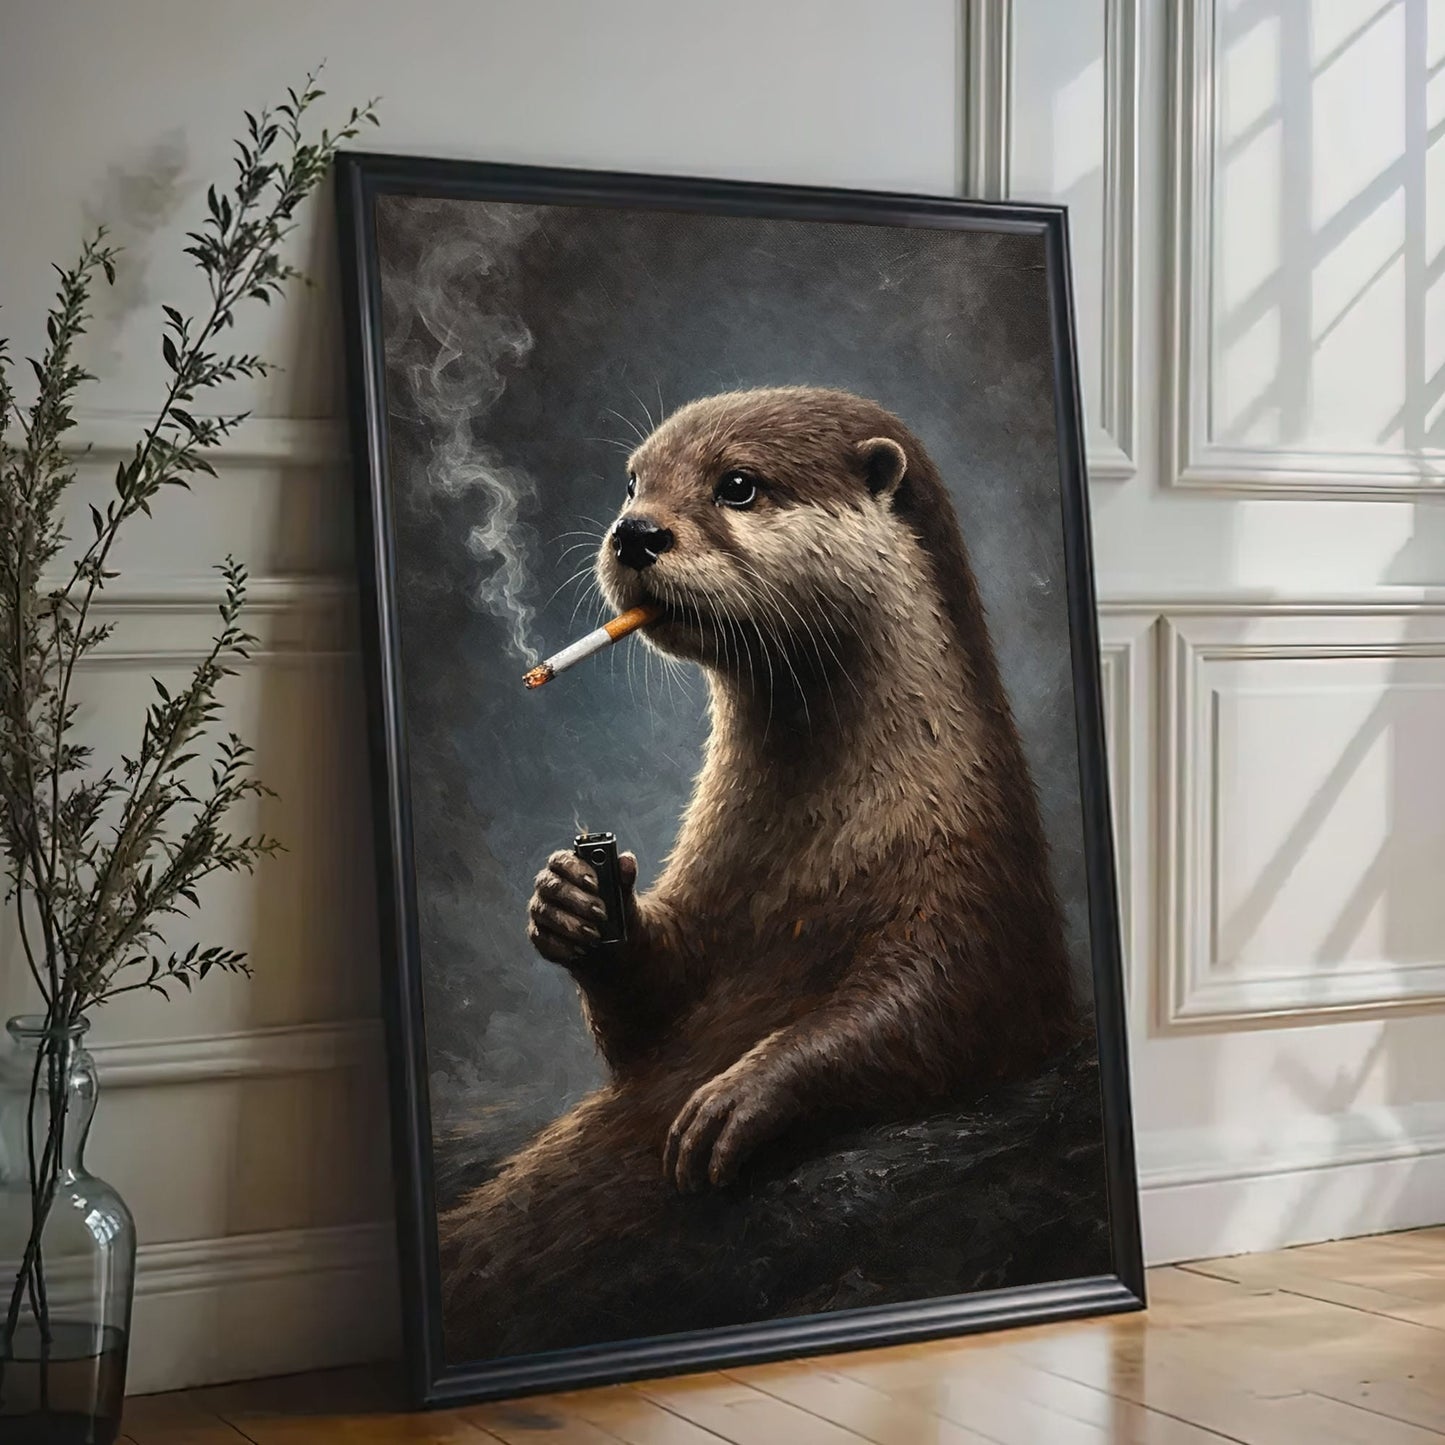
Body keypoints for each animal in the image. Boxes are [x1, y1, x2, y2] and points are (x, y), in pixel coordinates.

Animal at [438, 386, 1083, 1359]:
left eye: (736, 484)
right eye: (633, 481)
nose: (635, 533)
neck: (817, 857)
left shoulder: (971, 890)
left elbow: (942, 1010)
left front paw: (739, 1094)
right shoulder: (714, 894)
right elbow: (651, 1027)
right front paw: (576, 900)